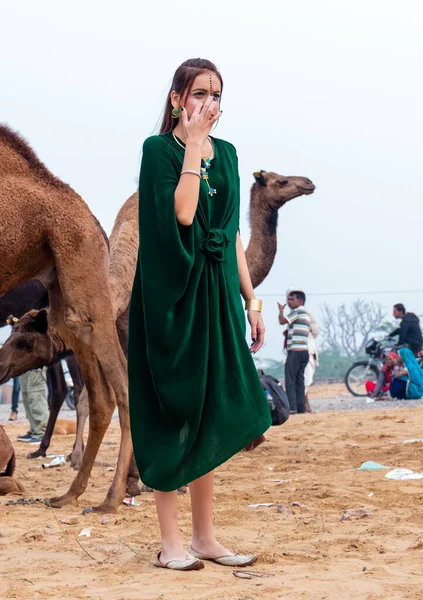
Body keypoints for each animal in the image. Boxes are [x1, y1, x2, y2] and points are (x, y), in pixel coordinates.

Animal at [0, 124, 131, 512]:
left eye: (25, 342)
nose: (1, 367)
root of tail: (94, 222)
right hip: (64, 302)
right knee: (99, 393)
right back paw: (71, 492)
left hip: (82, 265)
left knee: (120, 383)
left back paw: (111, 498)